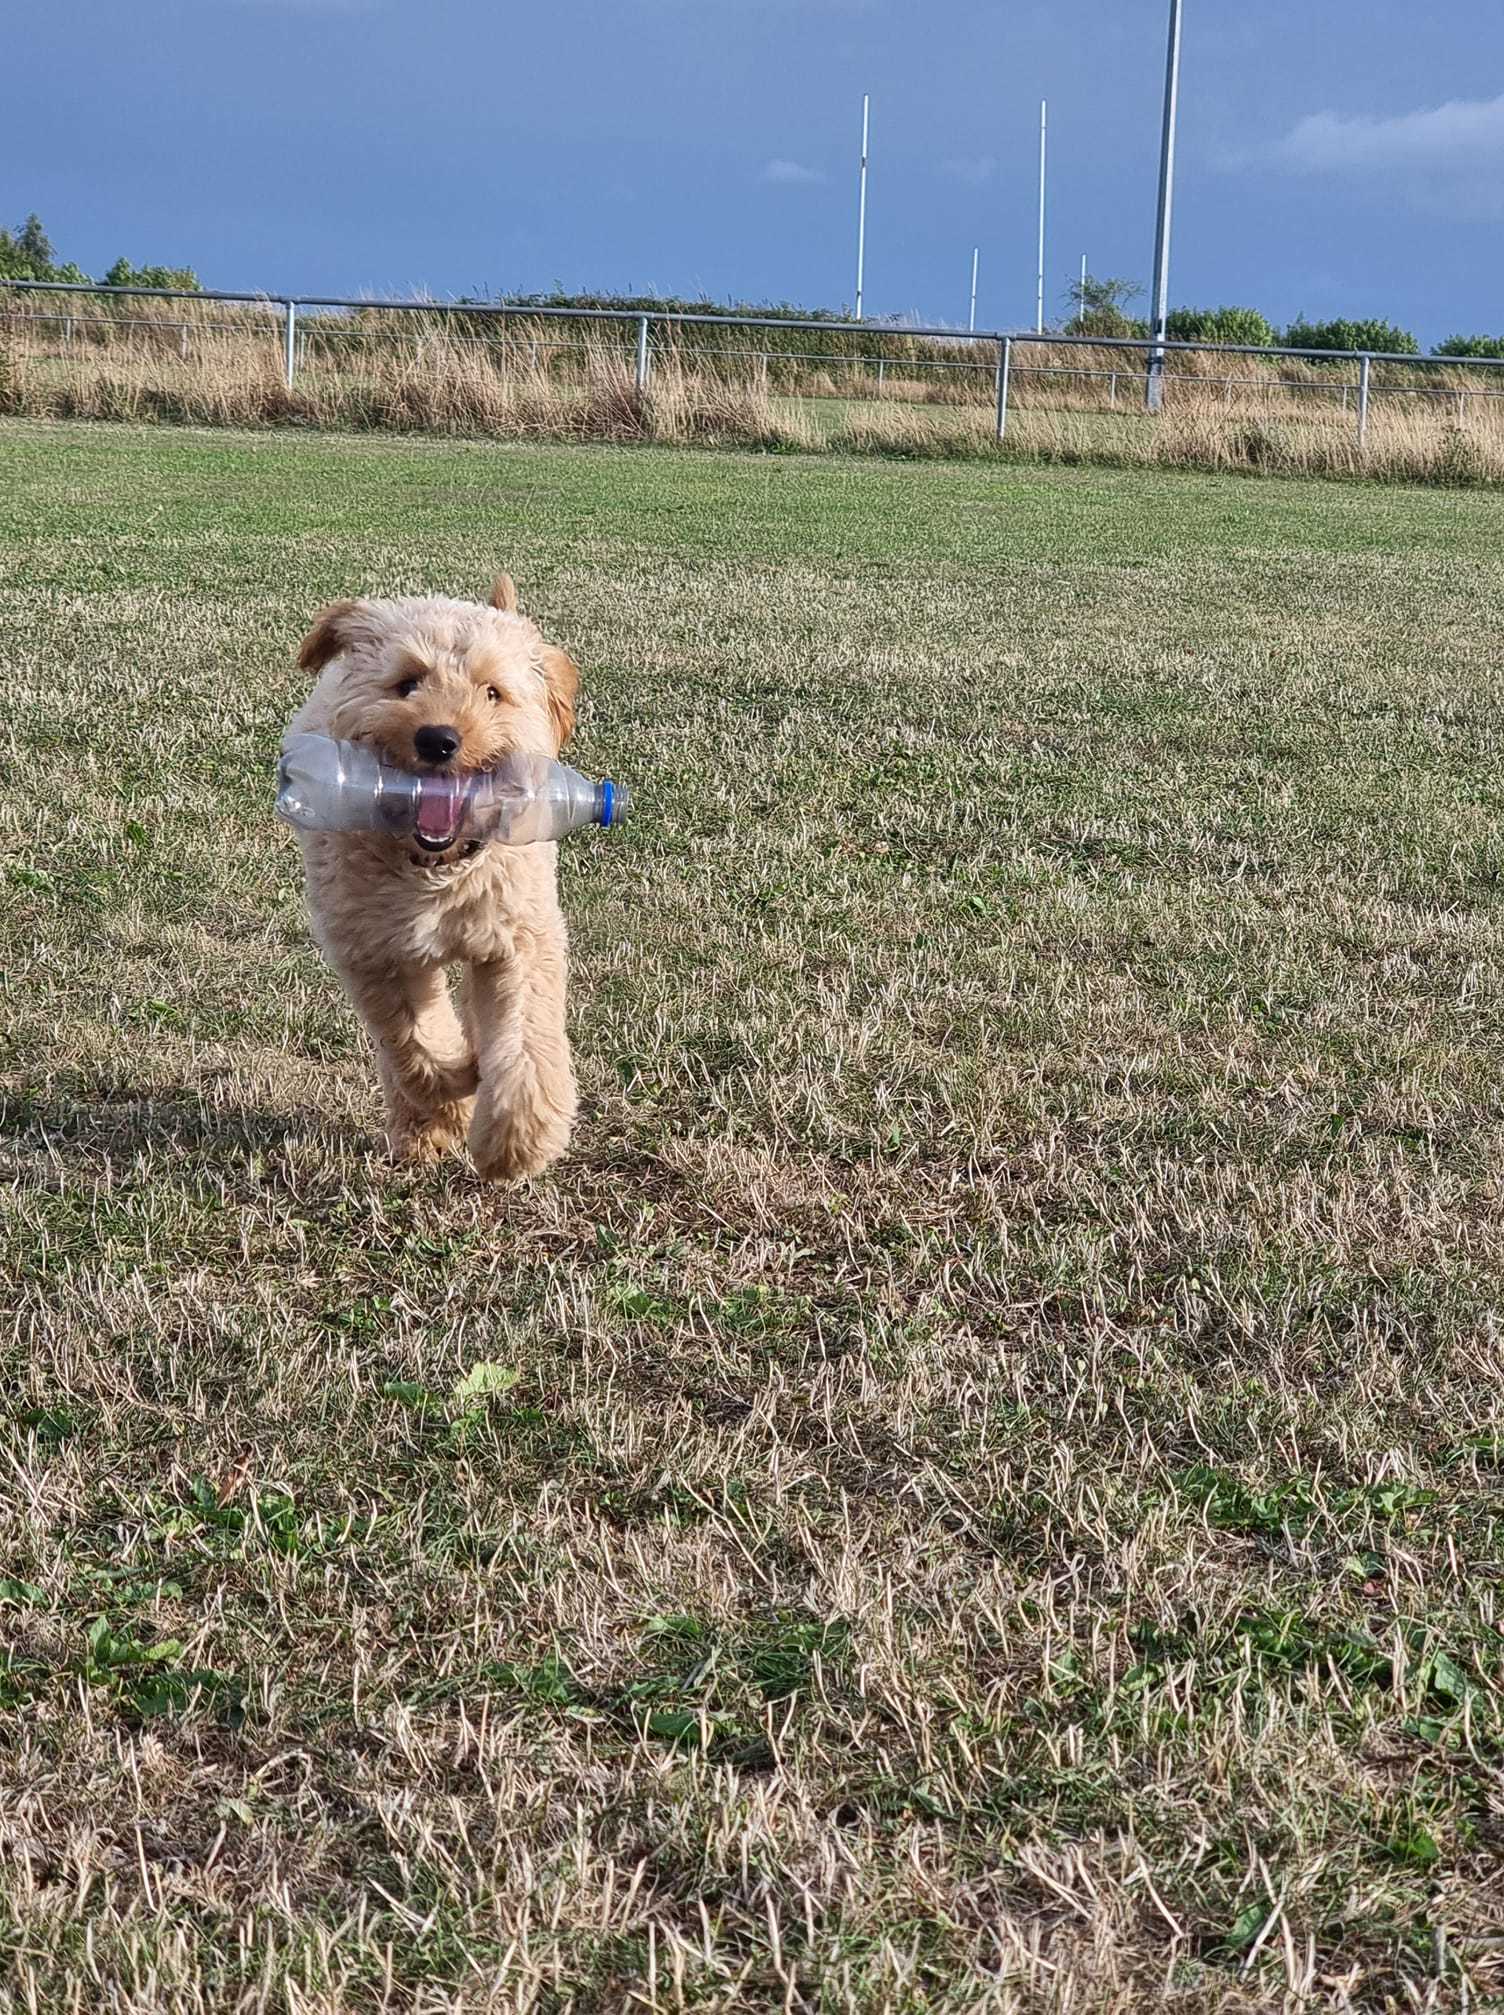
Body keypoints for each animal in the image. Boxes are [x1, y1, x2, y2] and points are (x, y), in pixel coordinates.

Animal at [286, 576, 580, 1176]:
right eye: (407, 683)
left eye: (492, 692)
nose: (438, 739)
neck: (438, 870)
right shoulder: (376, 953)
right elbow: (415, 1043)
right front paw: (458, 1084)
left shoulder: (518, 939)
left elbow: (525, 1038)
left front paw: (514, 1143)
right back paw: (424, 1129)